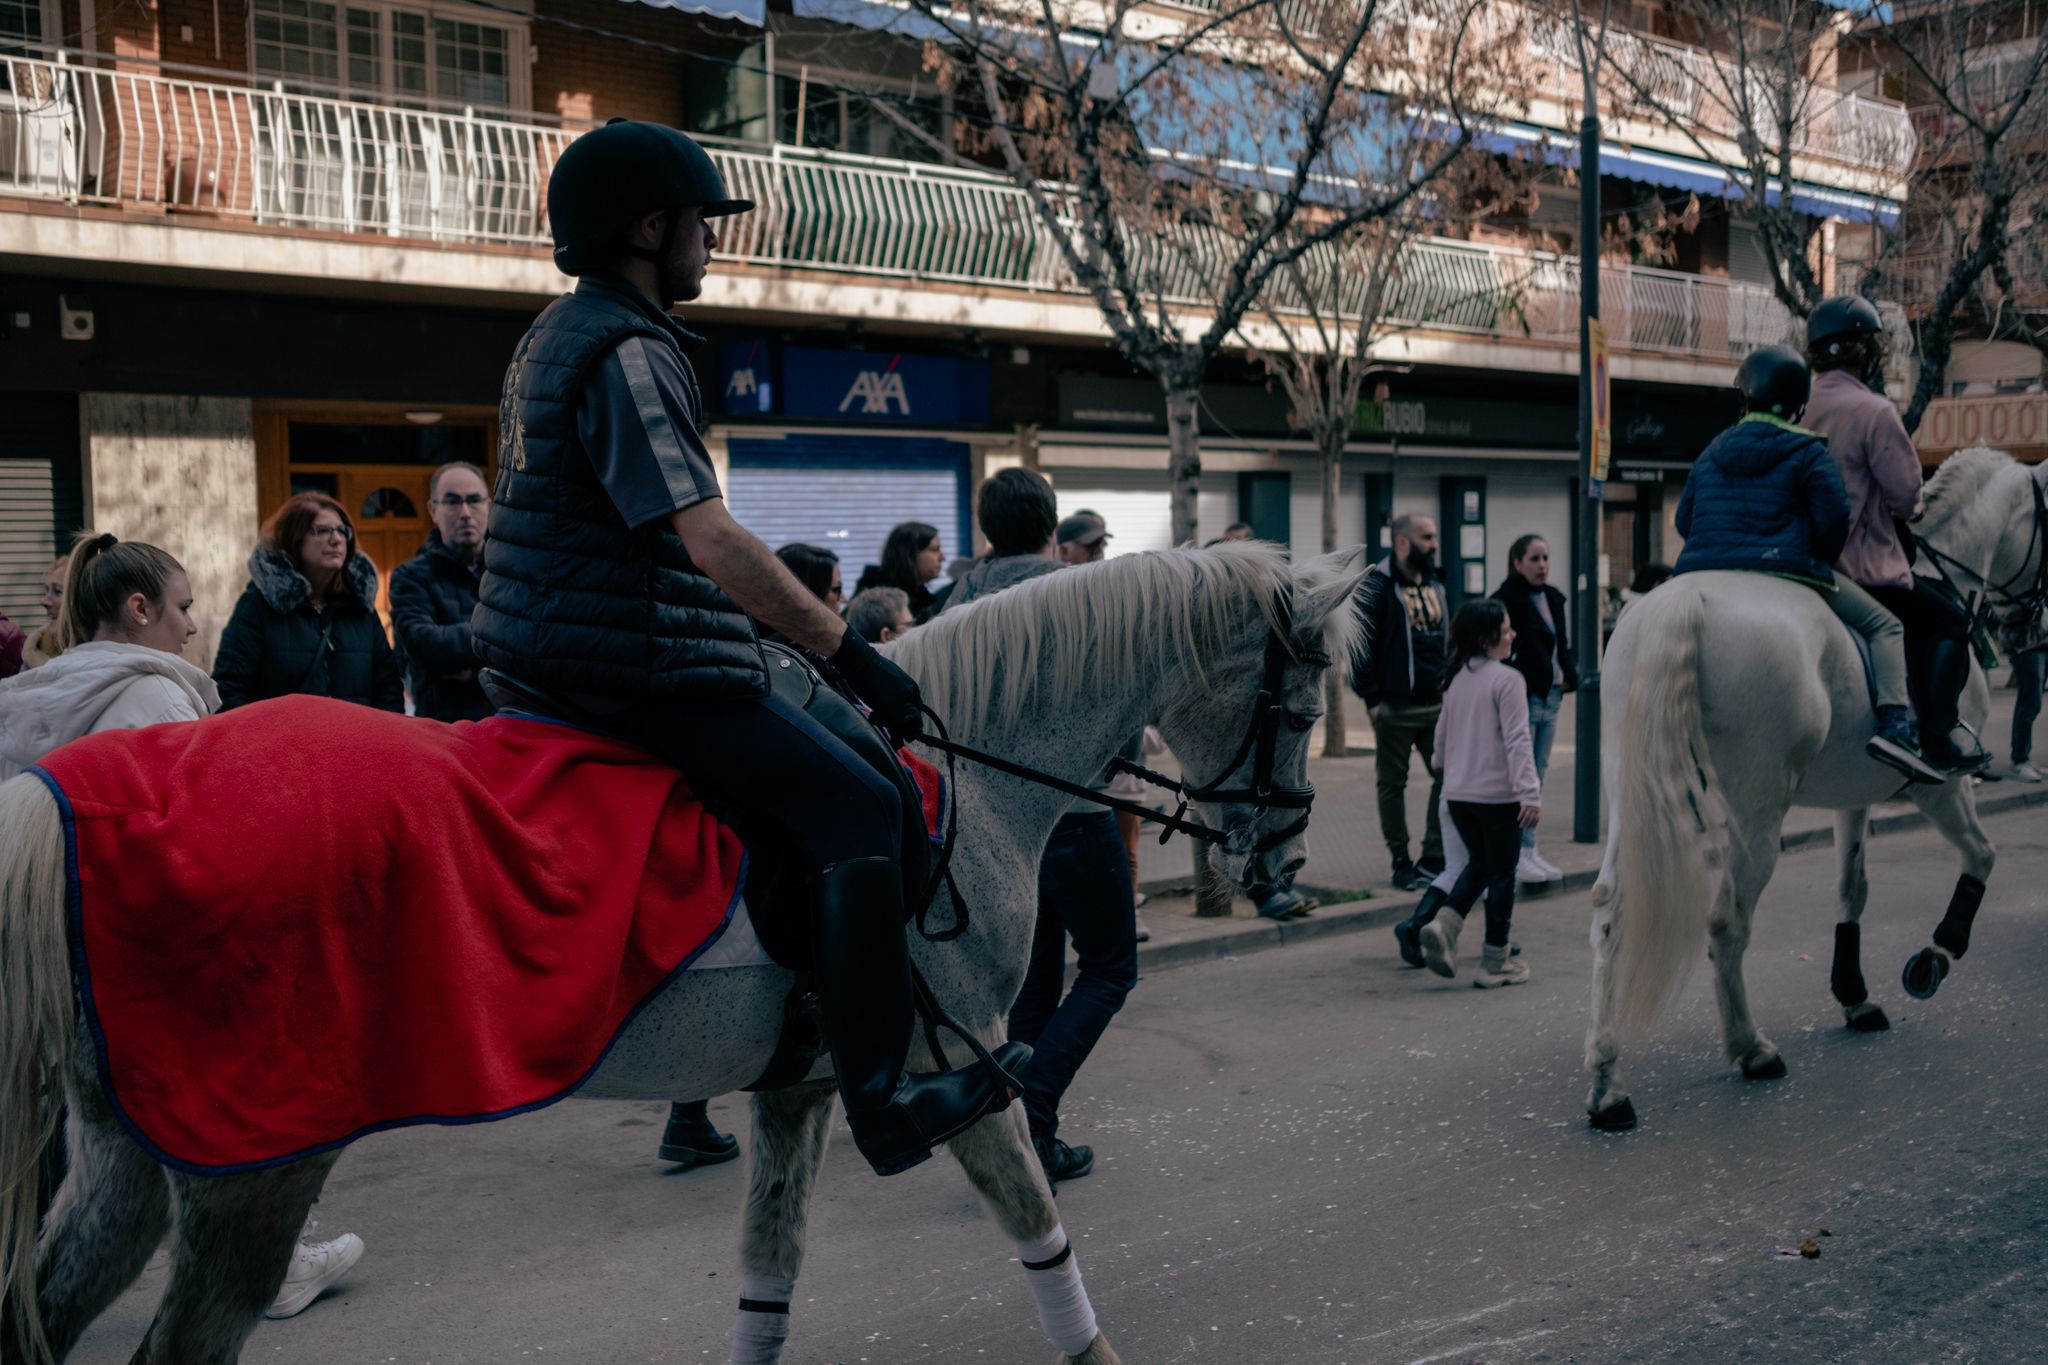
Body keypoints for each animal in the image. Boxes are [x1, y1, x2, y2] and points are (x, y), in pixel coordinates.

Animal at [4, 540, 1376, 1365]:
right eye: (1301, 696)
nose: (1285, 856)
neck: (962, 774)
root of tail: (69, 803)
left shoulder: (799, 1085)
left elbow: (766, 1278)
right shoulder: (961, 1061)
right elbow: (1036, 1220)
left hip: (140, 1158)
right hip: (256, 1168)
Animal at [1572, 448, 2039, 1129]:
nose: (2027, 628)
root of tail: (1678, 602)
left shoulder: (1854, 793)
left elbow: (1853, 887)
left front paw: (1855, 995)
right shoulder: (1941, 786)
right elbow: (1982, 855)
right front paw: (1936, 954)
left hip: (1634, 800)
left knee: (1610, 909)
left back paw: (1608, 1081)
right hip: (1757, 816)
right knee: (1726, 924)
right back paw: (1750, 1048)